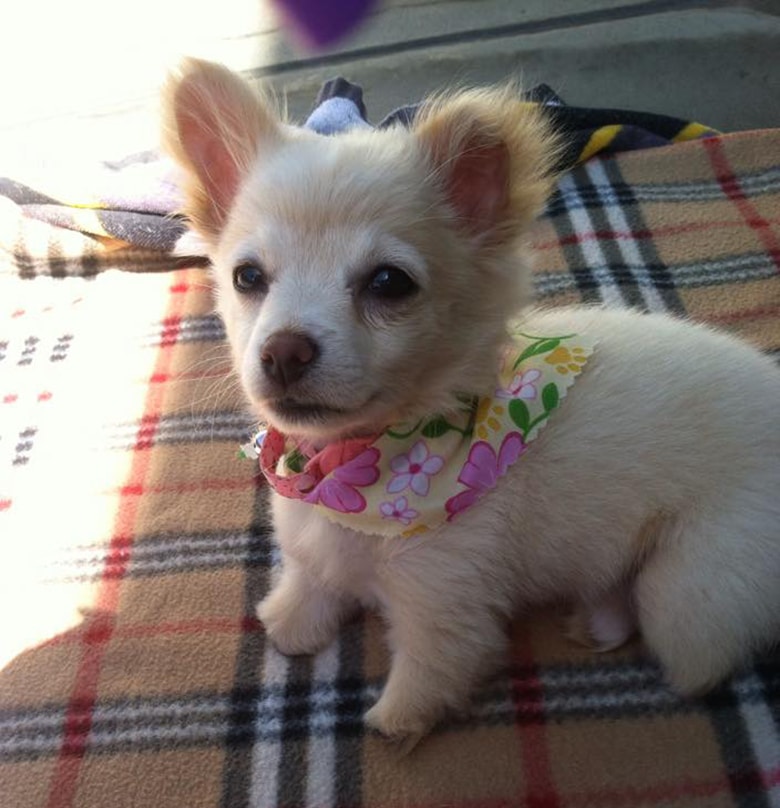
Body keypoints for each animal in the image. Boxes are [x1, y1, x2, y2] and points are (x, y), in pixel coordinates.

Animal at [163, 58, 780, 743]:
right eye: (248, 277)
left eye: (389, 282)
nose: (284, 352)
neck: (361, 471)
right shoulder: (321, 543)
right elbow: (310, 577)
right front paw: (292, 617)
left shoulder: (443, 604)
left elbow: (428, 673)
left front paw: (395, 721)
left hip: (692, 590)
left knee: (697, 657)